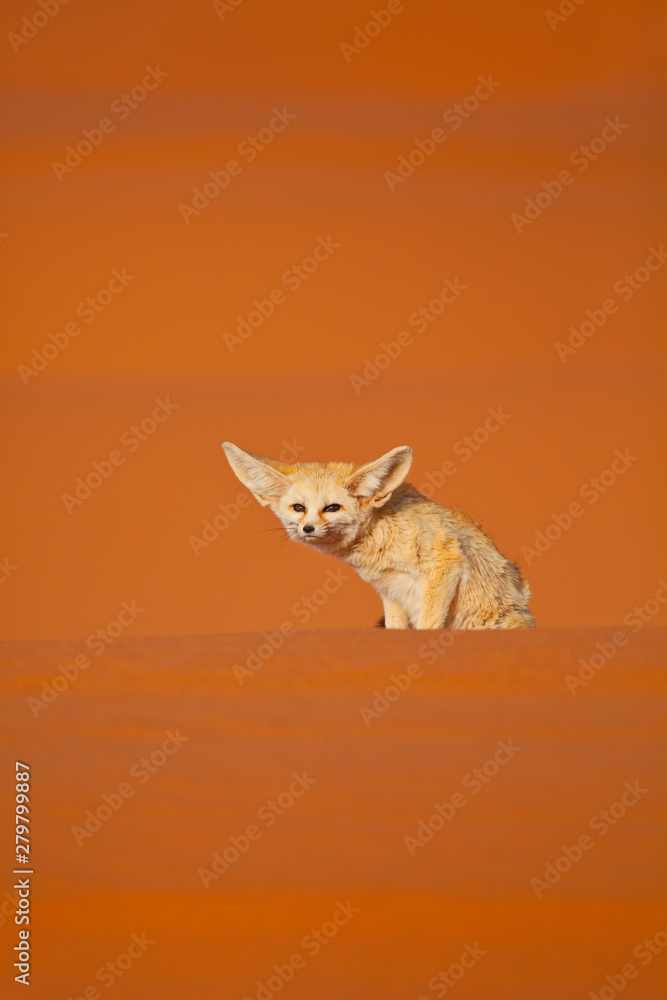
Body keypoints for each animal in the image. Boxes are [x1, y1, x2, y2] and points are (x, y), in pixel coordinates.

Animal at [222, 442, 536, 630]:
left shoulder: (444, 565)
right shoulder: (391, 590)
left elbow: (428, 624)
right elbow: (396, 627)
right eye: (298, 508)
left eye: (332, 508)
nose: (307, 529)